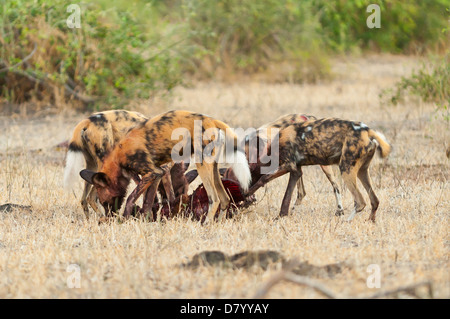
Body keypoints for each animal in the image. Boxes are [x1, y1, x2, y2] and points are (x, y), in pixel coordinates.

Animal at [78, 111, 251, 224]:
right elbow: (148, 201)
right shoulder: (157, 174)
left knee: (214, 198)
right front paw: (147, 220)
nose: (109, 217)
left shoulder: (152, 172)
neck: (119, 156)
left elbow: (130, 198)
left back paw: (206, 224)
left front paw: (125, 218)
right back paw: (219, 223)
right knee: (224, 199)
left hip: (202, 165)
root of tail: (211, 120)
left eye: (105, 202)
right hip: (213, 168)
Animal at [241, 117, 392, 222]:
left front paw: (247, 193)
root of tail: (368, 131)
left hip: (346, 169)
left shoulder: (288, 165)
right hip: (362, 172)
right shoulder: (296, 171)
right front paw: (281, 216)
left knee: (360, 202)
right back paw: (370, 221)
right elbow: (287, 197)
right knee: (374, 200)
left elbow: (264, 178)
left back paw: (346, 221)